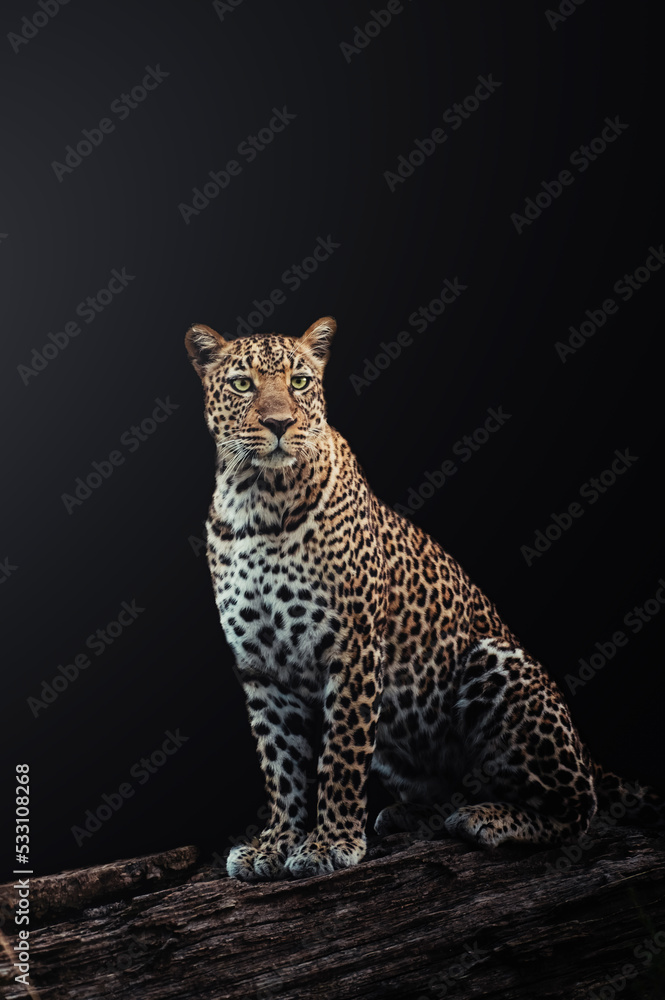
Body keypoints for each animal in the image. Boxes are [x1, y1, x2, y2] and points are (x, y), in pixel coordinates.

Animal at [185, 314, 663, 882]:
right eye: (243, 385)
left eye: (299, 382)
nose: (280, 423)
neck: (257, 498)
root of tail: (587, 754)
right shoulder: (260, 668)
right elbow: (280, 765)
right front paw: (275, 843)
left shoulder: (352, 646)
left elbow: (340, 754)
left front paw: (330, 844)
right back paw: (410, 814)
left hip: (495, 663)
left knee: (579, 807)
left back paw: (487, 818)